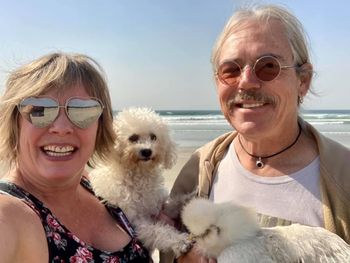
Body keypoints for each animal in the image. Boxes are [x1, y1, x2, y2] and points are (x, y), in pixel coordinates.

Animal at [90, 108, 193, 258]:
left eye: (153, 137)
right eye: (133, 138)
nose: (146, 151)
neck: (140, 175)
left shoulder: (158, 208)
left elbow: (173, 204)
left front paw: (189, 199)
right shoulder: (136, 223)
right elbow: (158, 231)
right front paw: (180, 241)